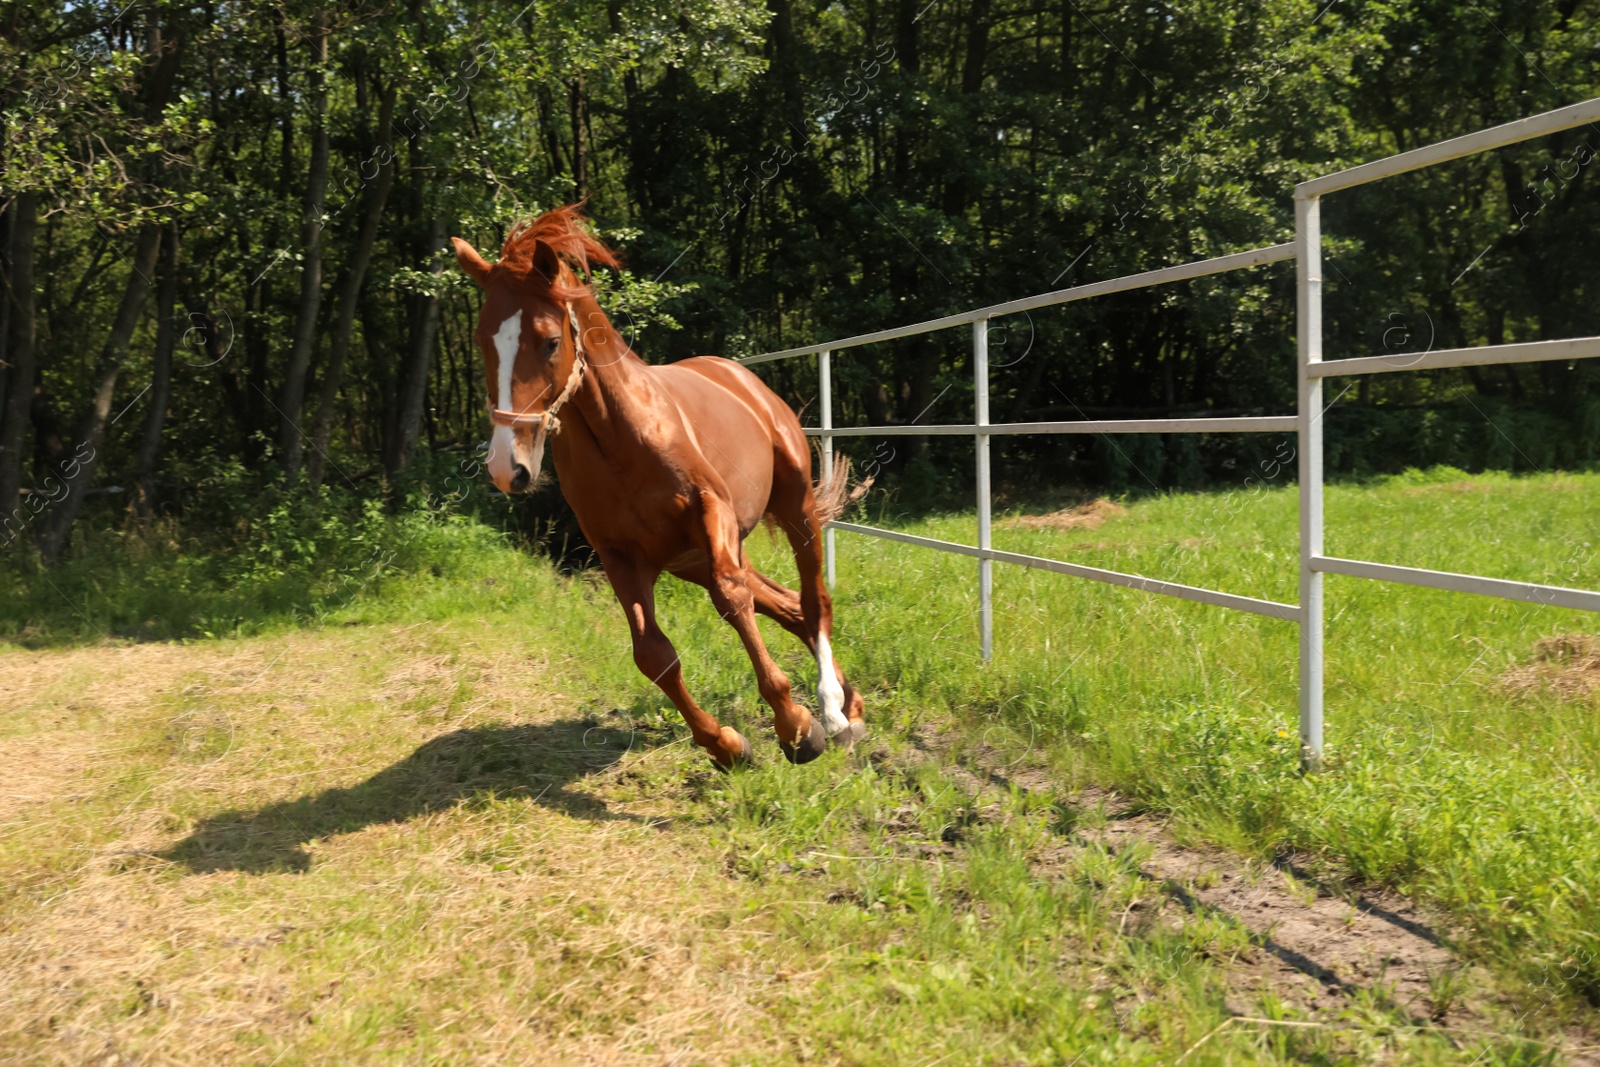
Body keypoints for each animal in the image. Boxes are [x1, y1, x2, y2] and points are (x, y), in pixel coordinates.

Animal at [451, 206, 870, 767]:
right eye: (482, 341)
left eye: (551, 341)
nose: (506, 468)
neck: (619, 439)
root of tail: (742, 379)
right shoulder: (620, 555)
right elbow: (653, 655)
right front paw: (726, 745)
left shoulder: (710, 513)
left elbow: (732, 600)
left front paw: (797, 728)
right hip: (696, 559)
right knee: (789, 607)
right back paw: (852, 706)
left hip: (793, 507)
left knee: (813, 599)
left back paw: (833, 711)